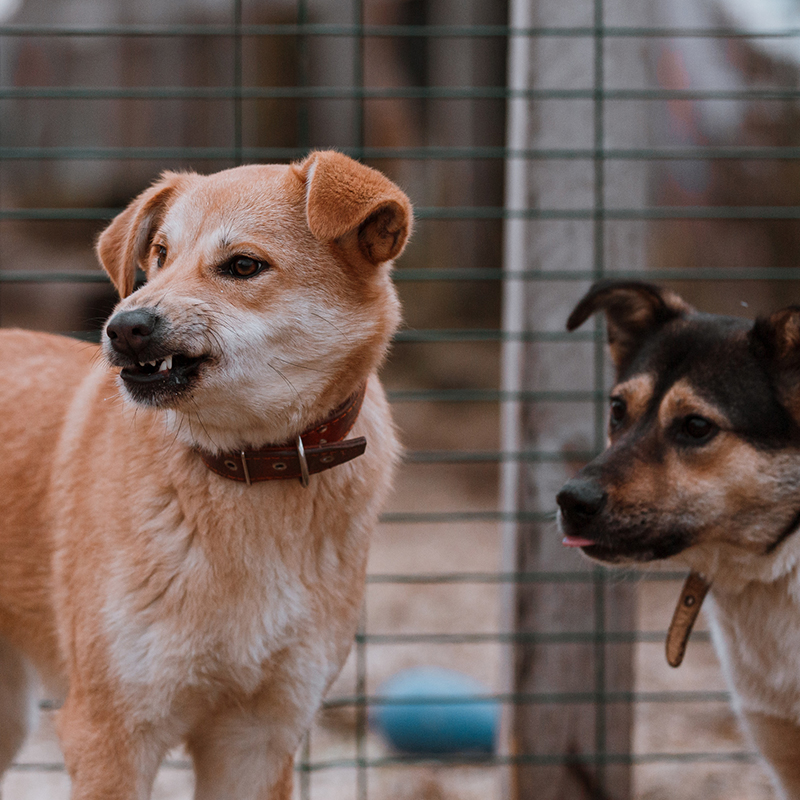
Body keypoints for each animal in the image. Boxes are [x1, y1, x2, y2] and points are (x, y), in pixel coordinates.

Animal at [0, 152, 410, 800]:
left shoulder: (258, 740)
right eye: (160, 255)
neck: (249, 466)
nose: (124, 326)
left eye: (243, 265)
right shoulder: (109, 733)